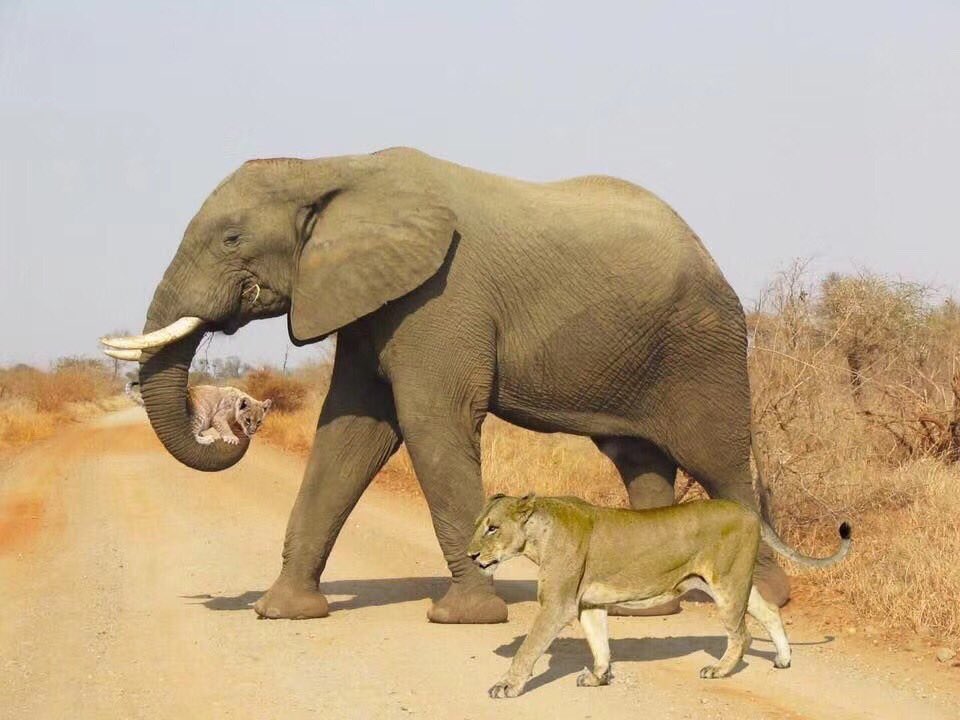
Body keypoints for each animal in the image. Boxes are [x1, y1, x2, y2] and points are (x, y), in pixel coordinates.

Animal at [101, 147, 790, 623]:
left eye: (231, 238)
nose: (238, 424)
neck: (332, 166)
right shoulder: (369, 301)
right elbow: (349, 433)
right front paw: (282, 612)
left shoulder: (440, 298)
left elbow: (431, 424)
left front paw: (465, 618)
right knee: (639, 459)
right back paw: (643, 609)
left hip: (704, 345)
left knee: (721, 461)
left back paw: (764, 598)